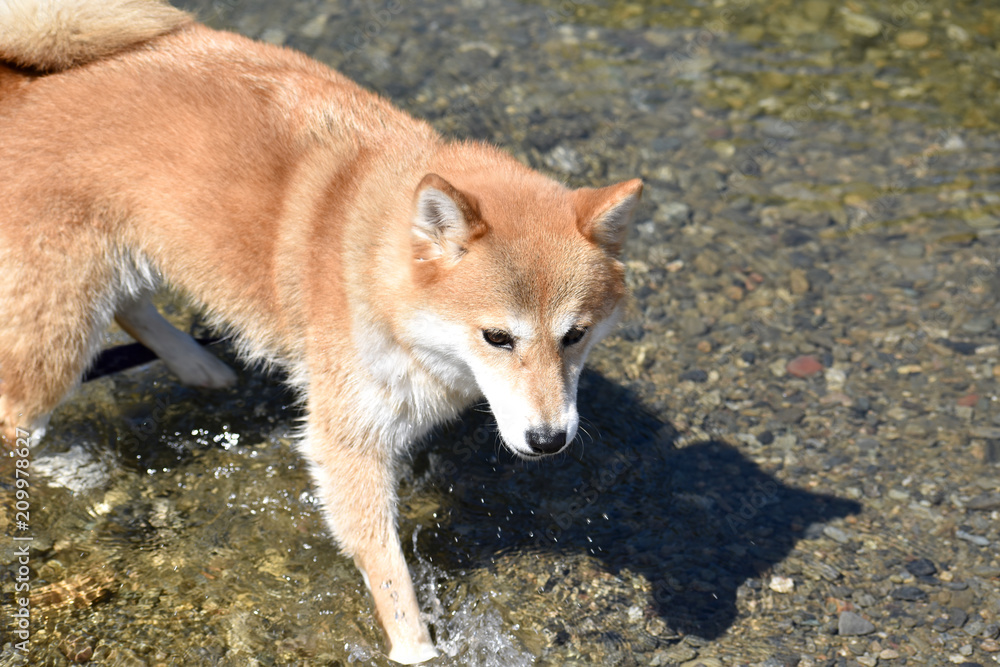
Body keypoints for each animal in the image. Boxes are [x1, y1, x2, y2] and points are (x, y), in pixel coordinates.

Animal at [0, 0, 640, 664]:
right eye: (497, 337)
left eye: (575, 336)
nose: (549, 440)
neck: (372, 267)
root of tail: (20, 79)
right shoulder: (346, 444)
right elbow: (389, 571)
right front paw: (416, 648)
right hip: (60, 326)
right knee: (18, 416)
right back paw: (71, 471)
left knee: (131, 309)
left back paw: (200, 364)